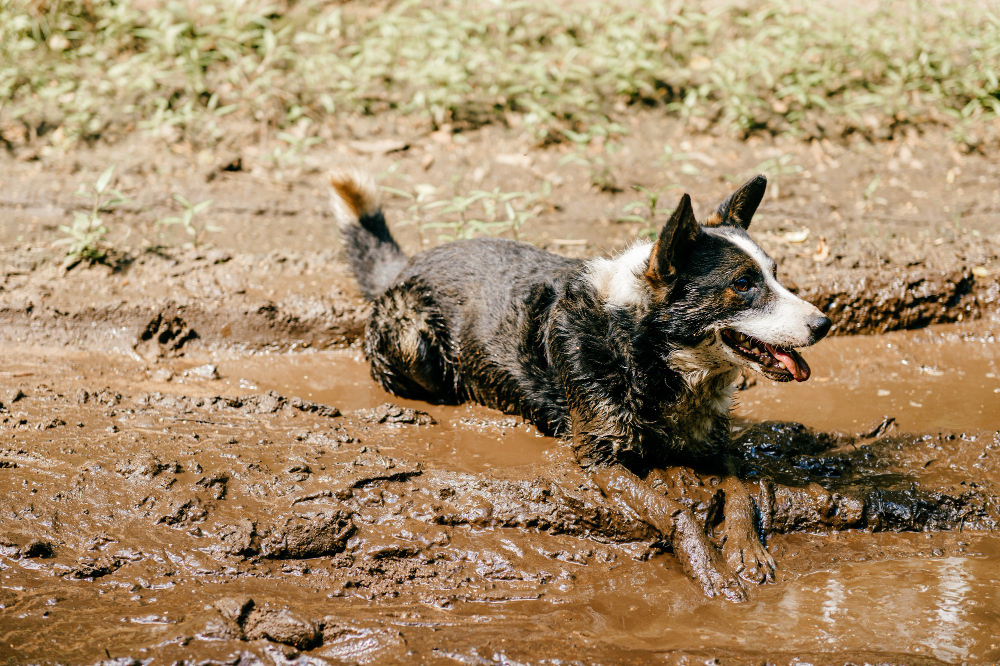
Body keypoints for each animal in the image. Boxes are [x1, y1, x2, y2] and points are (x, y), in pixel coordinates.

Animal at [332, 169, 832, 600]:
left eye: (775, 276)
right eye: (743, 284)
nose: (824, 324)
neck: (649, 355)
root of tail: (406, 266)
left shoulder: (714, 442)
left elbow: (742, 493)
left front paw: (747, 548)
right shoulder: (599, 455)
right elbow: (675, 511)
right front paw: (709, 568)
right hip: (413, 342)